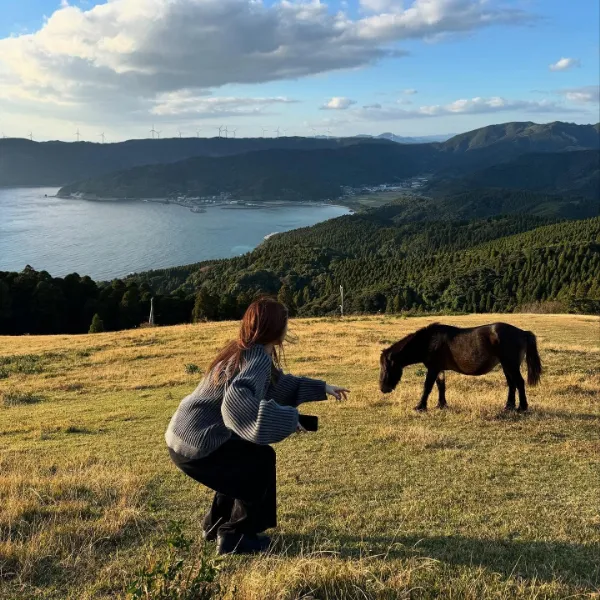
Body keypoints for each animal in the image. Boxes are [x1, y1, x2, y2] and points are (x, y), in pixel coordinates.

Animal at [380, 324, 544, 412]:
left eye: (387, 367)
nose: (383, 389)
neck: (429, 341)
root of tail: (522, 332)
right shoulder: (439, 369)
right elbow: (441, 386)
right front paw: (441, 404)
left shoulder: (433, 368)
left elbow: (427, 387)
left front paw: (420, 406)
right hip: (506, 366)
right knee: (512, 384)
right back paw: (509, 406)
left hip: (511, 364)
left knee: (519, 383)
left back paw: (522, 407)